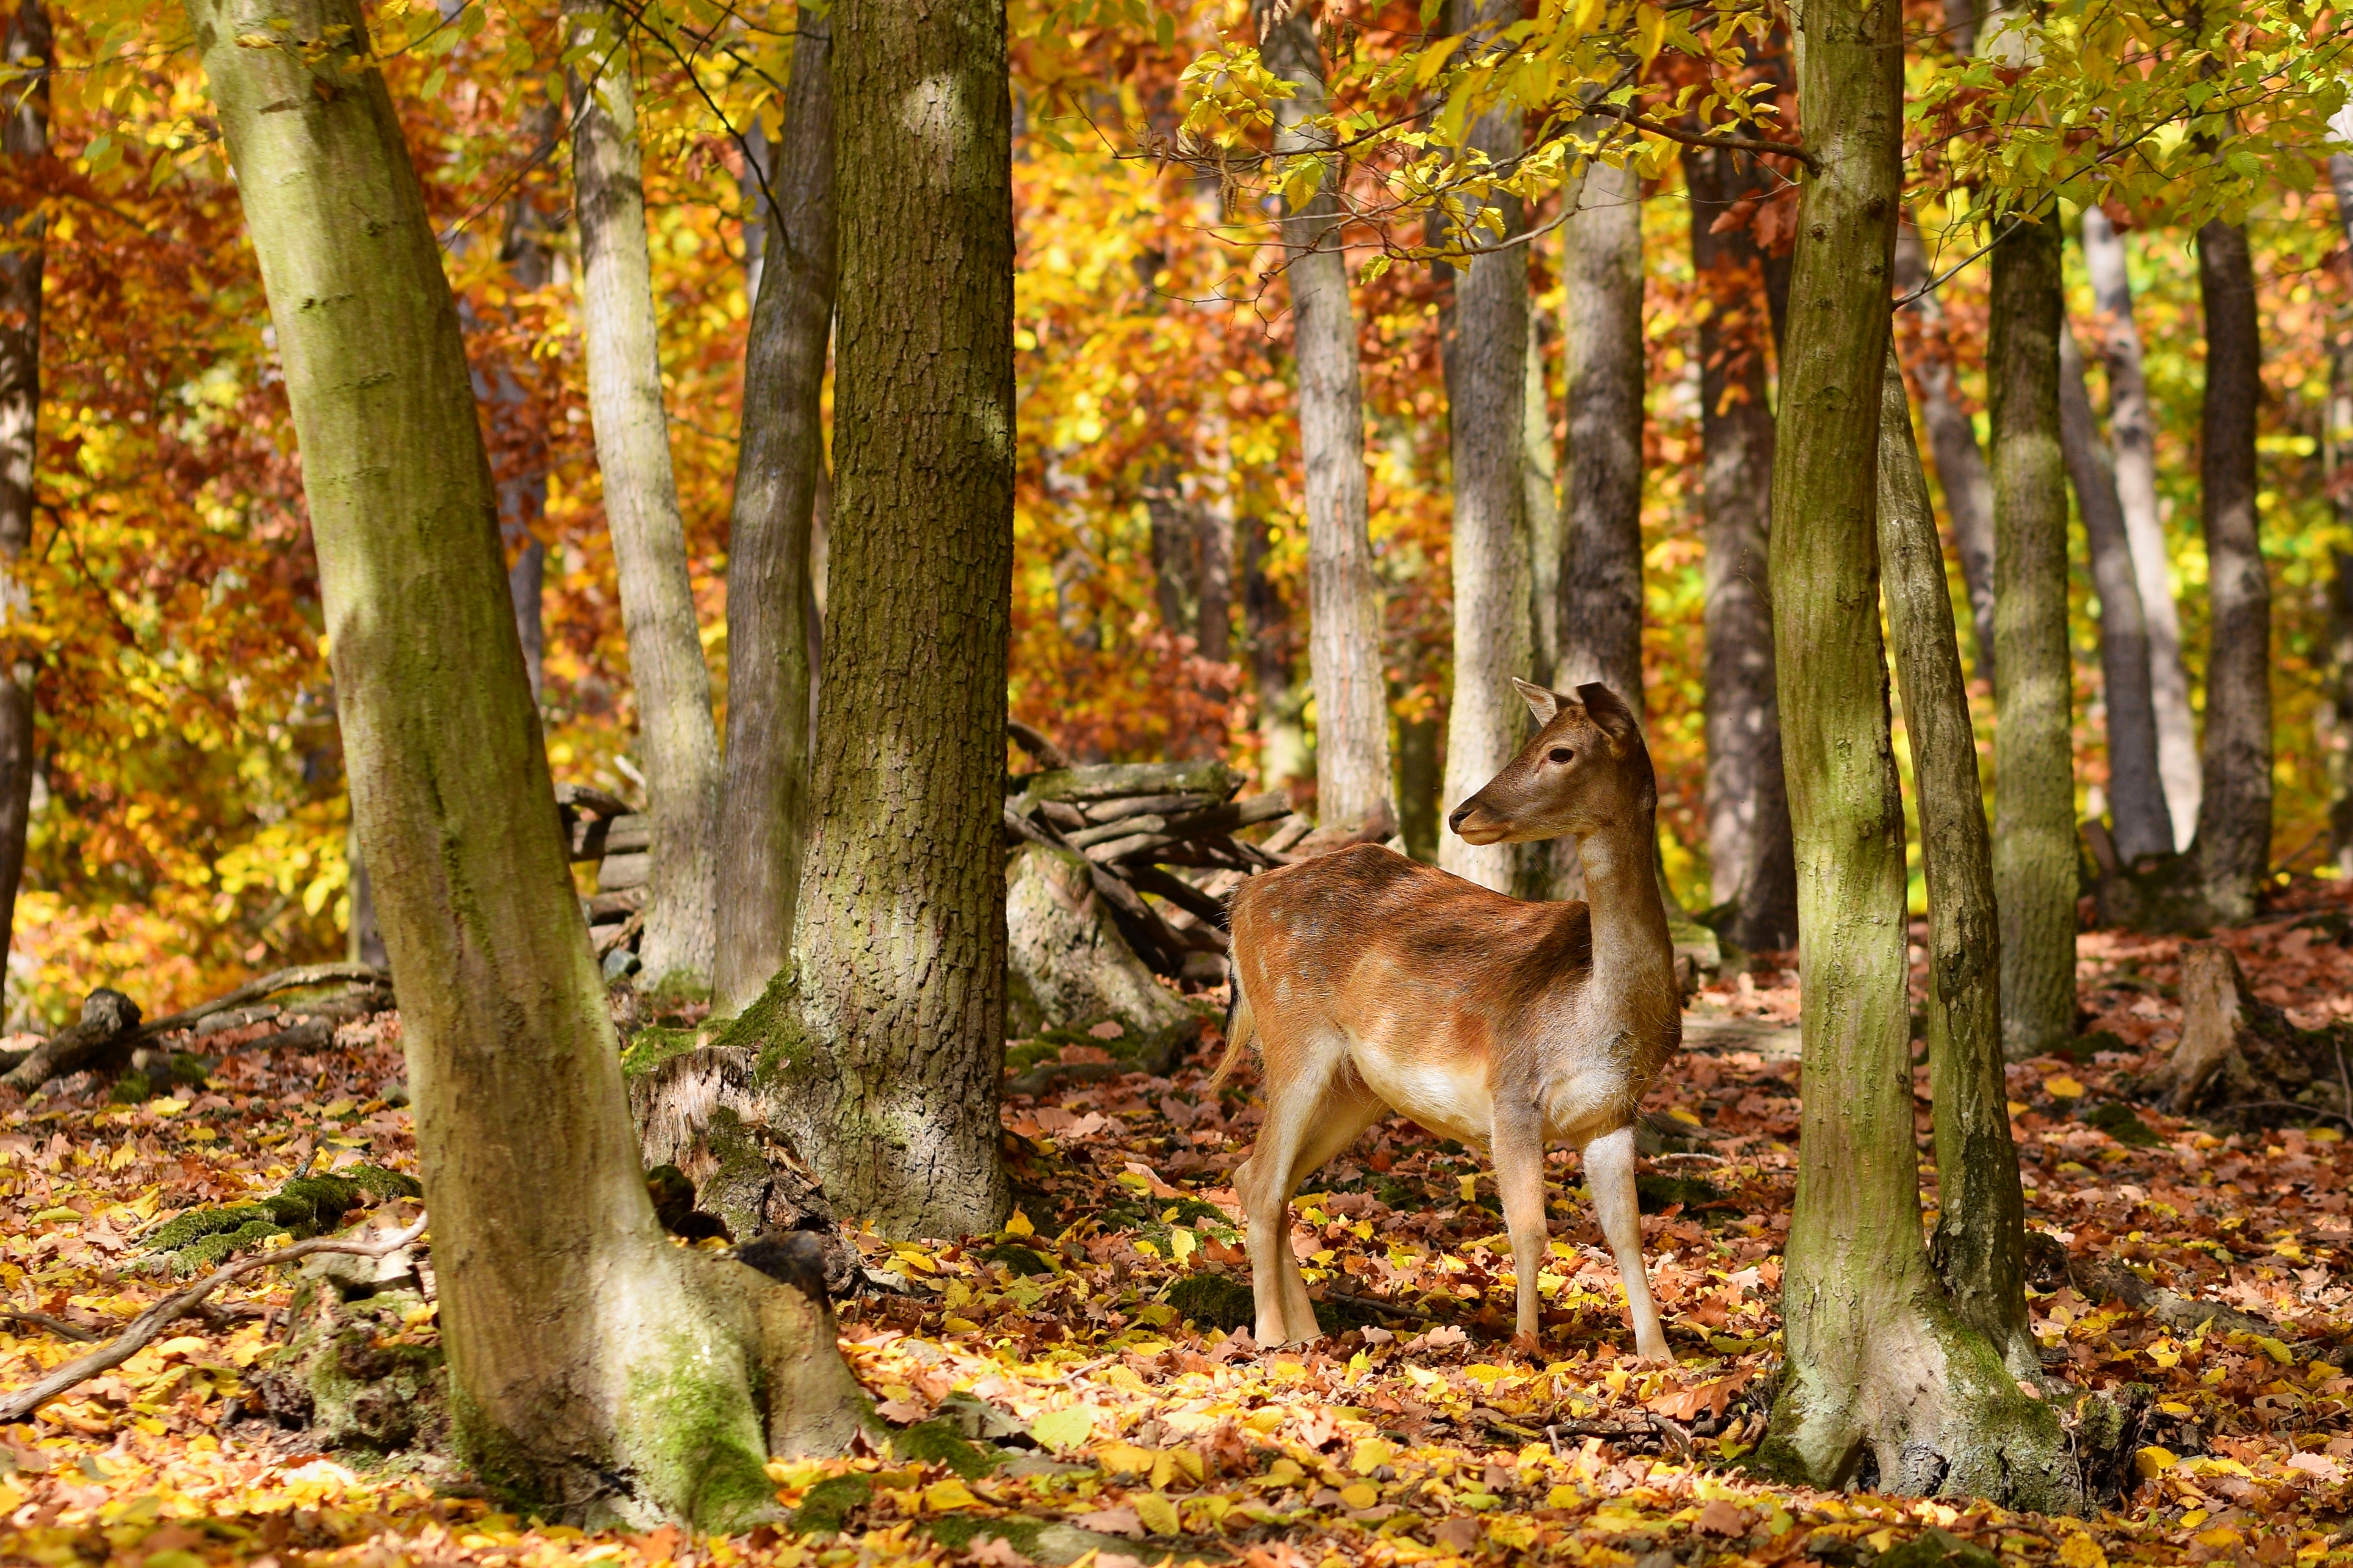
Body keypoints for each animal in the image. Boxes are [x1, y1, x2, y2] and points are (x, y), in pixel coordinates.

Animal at [1209, 679, 1677, 1359]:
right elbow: (1530, 1228)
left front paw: (1658, 1355)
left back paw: (1309, 1329)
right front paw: (1524, 1349)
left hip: (1356, 1087)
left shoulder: (1613, 1112)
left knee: (1256, 1176)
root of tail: (1240, 899)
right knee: (1265, 1179)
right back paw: (1271, 1336)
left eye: (1559, 750)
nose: (1461, 813)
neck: (1596, 1011)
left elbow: (1627, 1234)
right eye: (1535, 740)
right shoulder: (1513, 1088)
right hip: (1293, 1032)